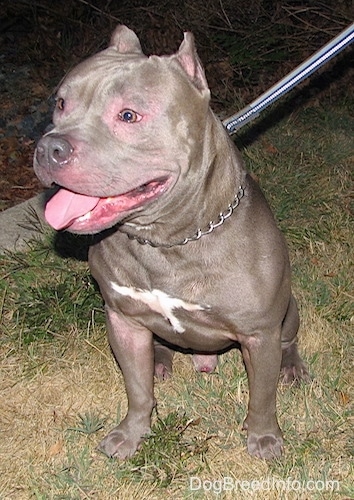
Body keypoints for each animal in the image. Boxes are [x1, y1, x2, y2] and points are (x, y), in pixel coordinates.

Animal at [34, 25, 310, 458]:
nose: (49, 147)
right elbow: (137, 388)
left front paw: (264, 436)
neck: (168, 240)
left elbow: (262, 397)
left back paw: (292, 366)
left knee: (289, 339)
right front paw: (132, 433)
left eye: (128, 115)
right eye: (61, 103)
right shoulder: (123, 320)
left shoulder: (259, 334)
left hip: (289, 310)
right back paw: (160, 360)